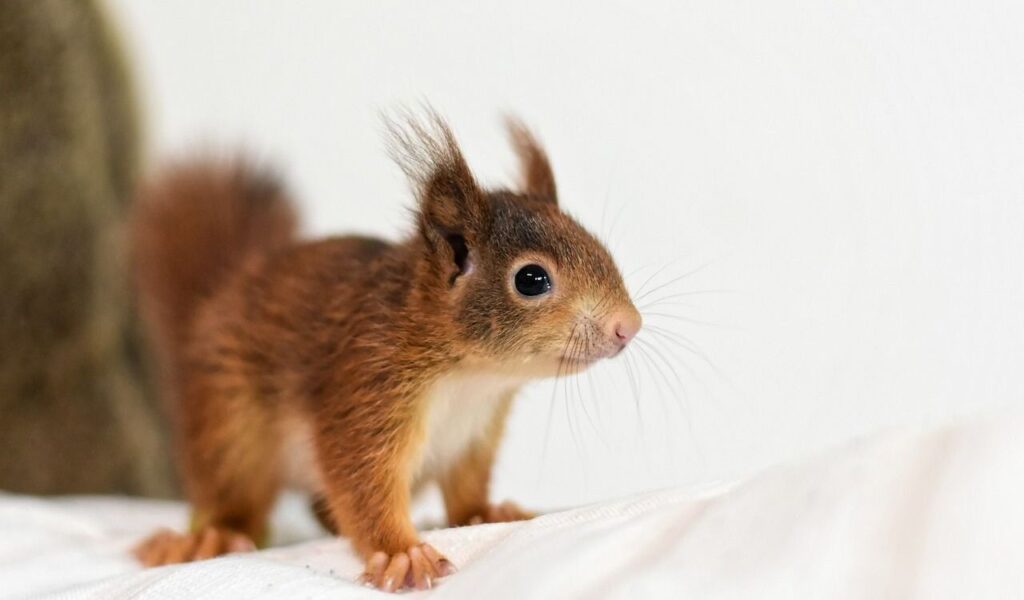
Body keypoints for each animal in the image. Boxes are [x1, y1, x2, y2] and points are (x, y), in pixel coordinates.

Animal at [131, 113, 642, 592]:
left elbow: (466, 487)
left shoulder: (473, 433)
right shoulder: (367, 384)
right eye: (531, 279)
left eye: (594, 243)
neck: (472, 376)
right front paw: (401, 553)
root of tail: (218, 298)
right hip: (229, 424)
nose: (628, 327)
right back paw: (209, 535)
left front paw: (486, 513)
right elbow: (361, 483)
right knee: (233, 497)